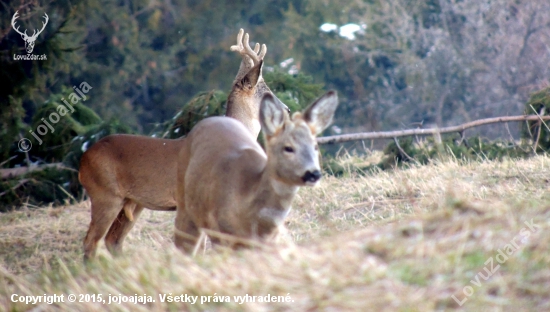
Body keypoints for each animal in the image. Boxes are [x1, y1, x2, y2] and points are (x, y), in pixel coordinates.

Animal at [82, 29, 288, 260]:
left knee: (113, 240)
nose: (288, 109)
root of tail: (84, 158)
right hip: (105, 194)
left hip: (132, 203)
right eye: (266, 92)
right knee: (91, 241)